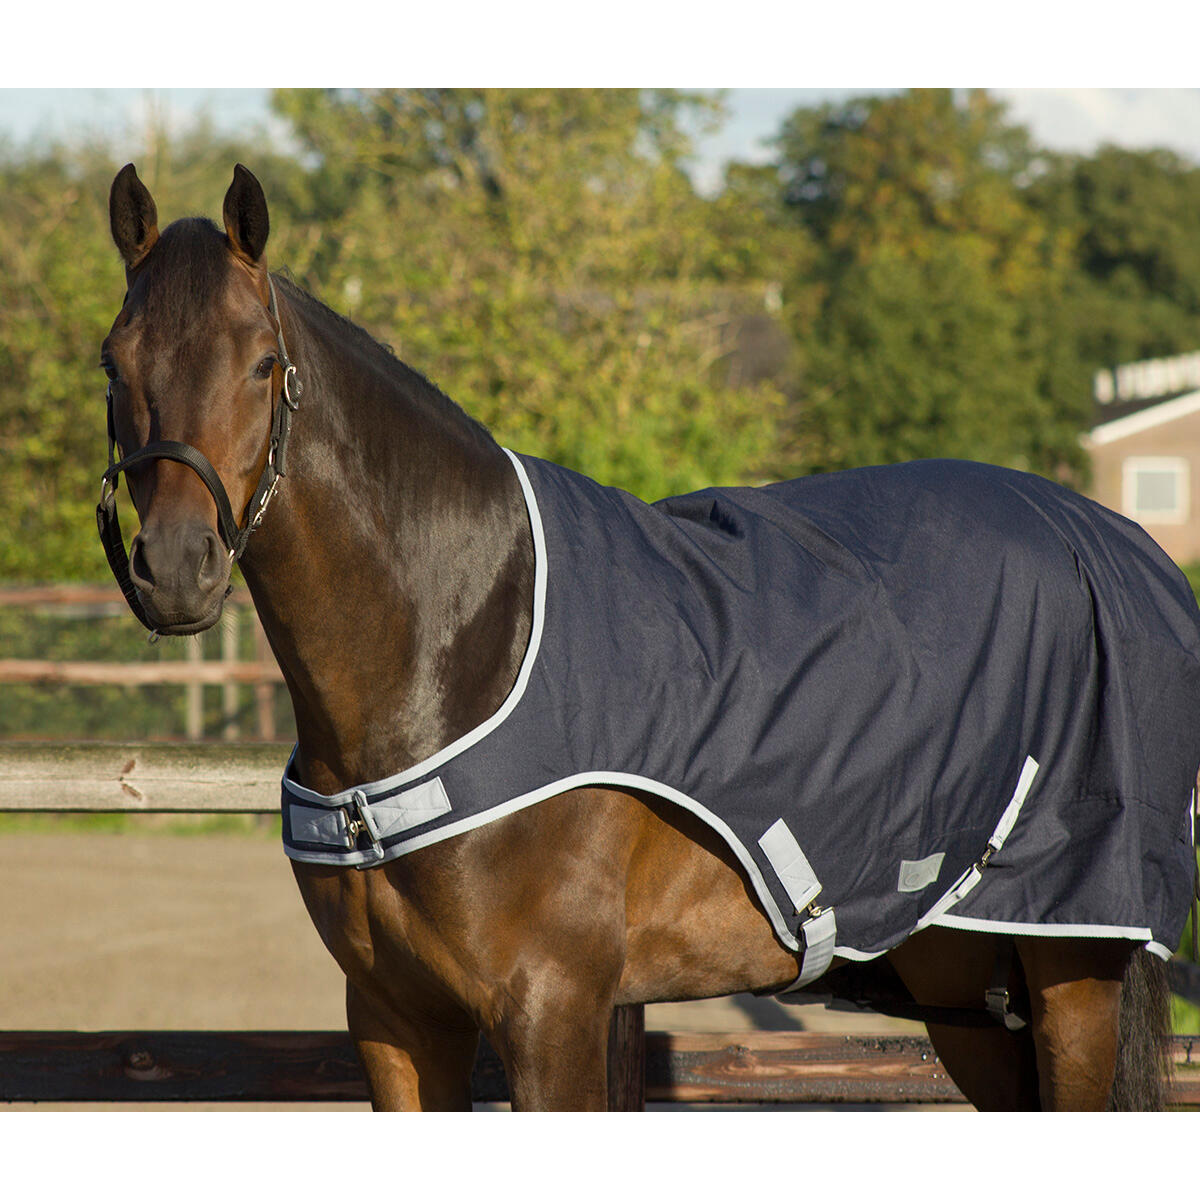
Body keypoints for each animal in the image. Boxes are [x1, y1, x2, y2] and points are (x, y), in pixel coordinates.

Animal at [97, 162, 1198, 1110]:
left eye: (262, 363)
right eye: (115, 363)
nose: (178, 565)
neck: (460, 647)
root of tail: (1118, 542)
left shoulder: (553, 1011)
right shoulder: (397, 1020)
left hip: (1071, 970)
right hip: (965, 980)